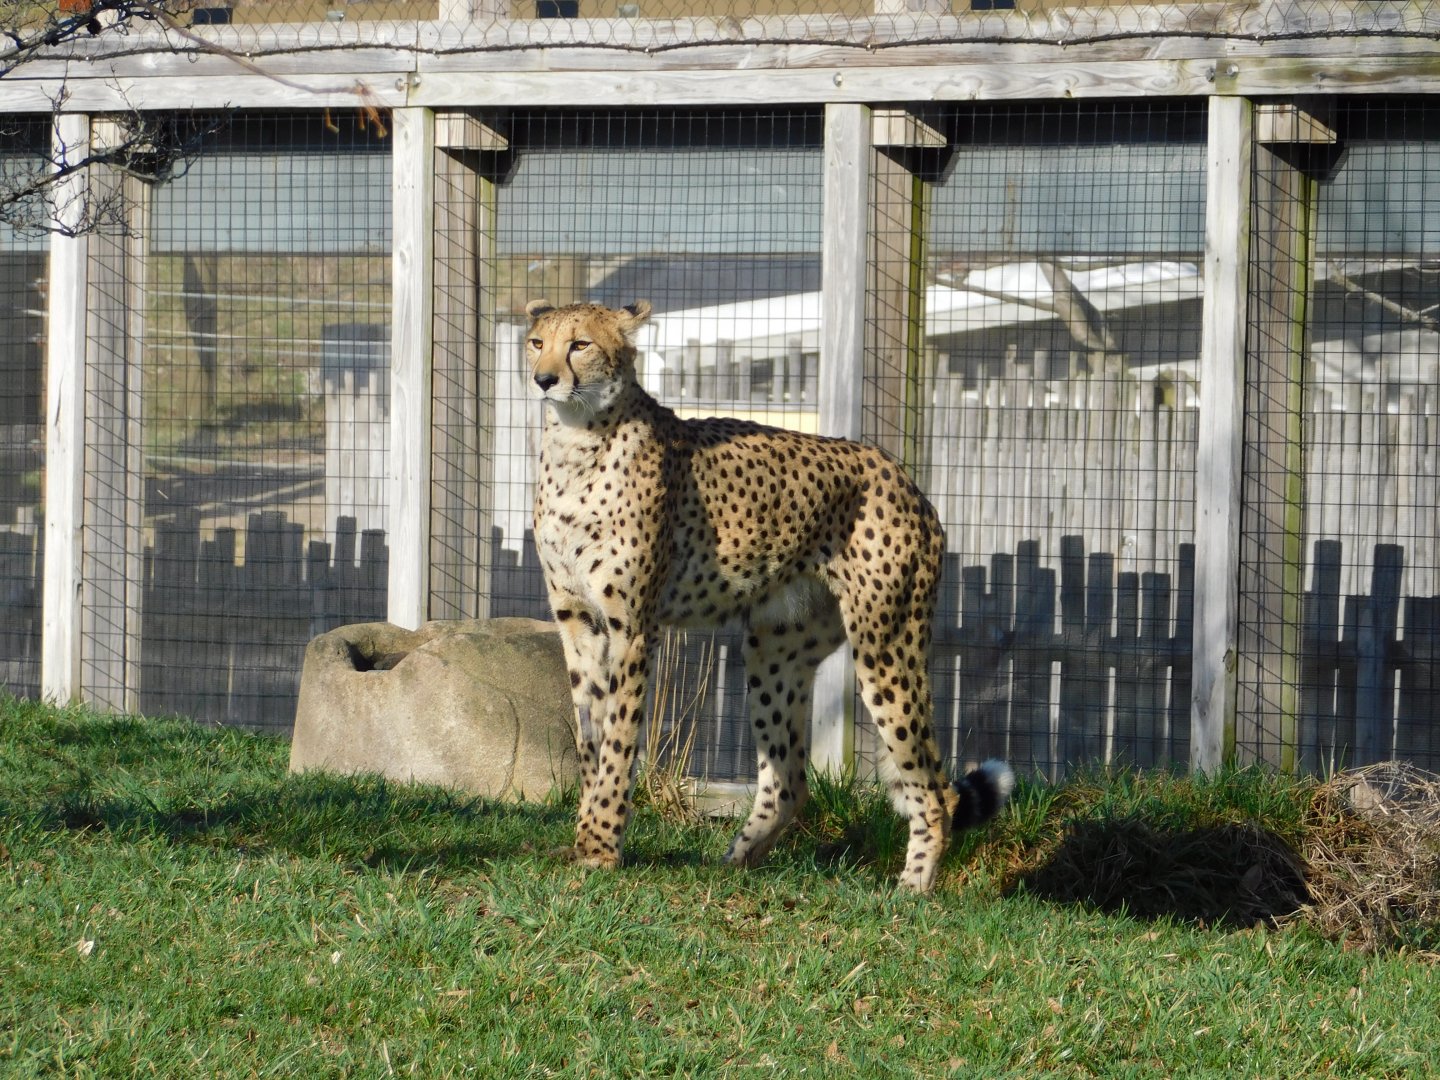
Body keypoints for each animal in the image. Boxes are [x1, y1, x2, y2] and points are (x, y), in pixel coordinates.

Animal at [525, 298, 1014, 892]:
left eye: (580, 345)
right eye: (536, 342)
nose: (543, 379)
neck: (577, 443)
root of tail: (902, 475)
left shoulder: (633, 629)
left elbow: (618, 741)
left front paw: (599, 848)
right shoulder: (578, 622)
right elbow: (590, 739)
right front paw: (583, 838)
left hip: (886, 645)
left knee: (935, 788)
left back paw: (911, 890)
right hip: (776, 647)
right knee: (789, 780)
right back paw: (731, 865)